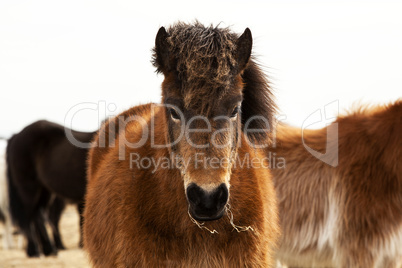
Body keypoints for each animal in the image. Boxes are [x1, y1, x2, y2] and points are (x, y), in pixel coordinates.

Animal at [6, 120, 95, 256]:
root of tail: (16, 136)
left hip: (45, 191)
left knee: (39, 216)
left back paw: (49, 249)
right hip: (28, 187)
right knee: (29, 216)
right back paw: (33, 250)